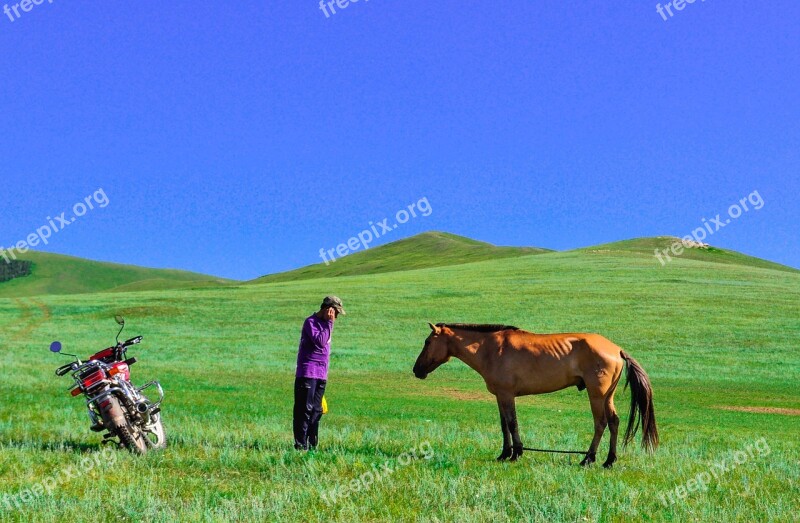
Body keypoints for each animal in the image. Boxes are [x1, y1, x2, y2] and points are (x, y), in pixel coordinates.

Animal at [412, 324, 656, 466]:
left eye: (427, 341)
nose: (416, 370)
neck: (490, 348)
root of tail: (617, 349)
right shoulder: (499, 396)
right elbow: (504, 425)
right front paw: (504, 453)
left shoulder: (507, 394)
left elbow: (512, 423)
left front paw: (516, 453)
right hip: (608, 396)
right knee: (614, 422)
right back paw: (609, 460)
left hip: (596, 395)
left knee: (601, 423)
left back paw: (588, 458)